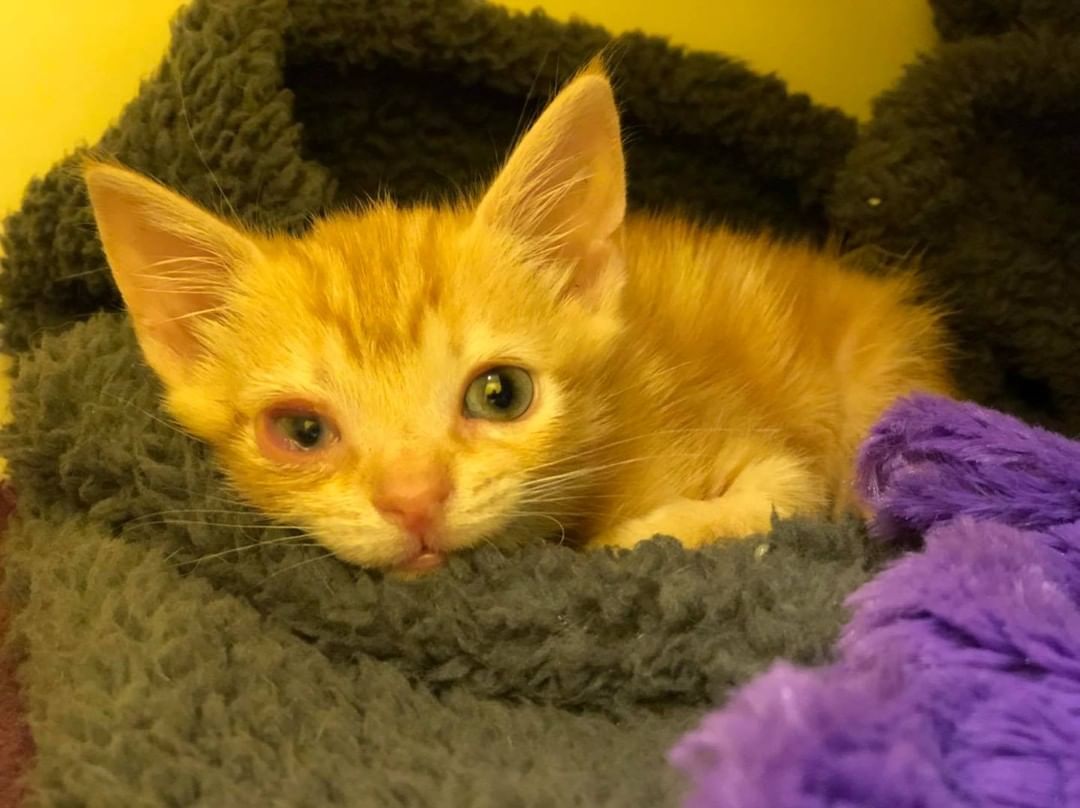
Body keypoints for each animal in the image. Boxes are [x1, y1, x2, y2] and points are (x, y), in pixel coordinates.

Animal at [84, 67, 950, 574]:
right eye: (300, 431)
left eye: (499, 394)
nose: (413, 499)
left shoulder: (772, 460)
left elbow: (780, 498)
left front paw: (631, 538)